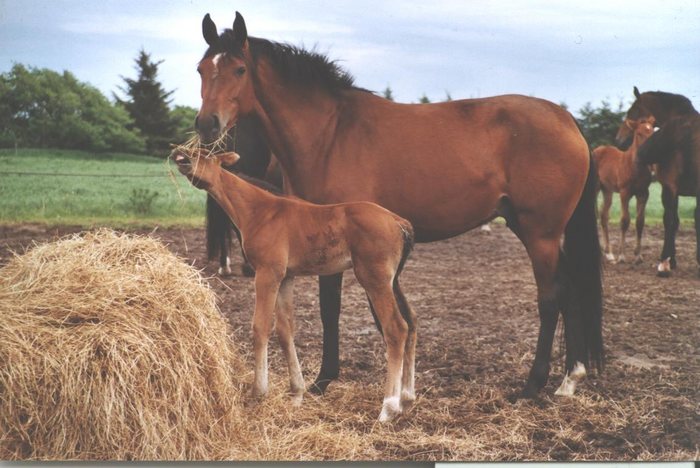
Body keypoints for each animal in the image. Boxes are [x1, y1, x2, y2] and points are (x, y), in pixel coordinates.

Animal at [172, 148, 416, 422]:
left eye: (204, 154)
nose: (180, 155)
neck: (261, 211)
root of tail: (399, 222)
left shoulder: (267, 273)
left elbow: (260, 327)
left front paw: (258, 392)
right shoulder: (286, 277)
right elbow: (285, 330)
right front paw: (297, 394)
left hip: (374, 279)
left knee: (396, 328)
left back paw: (388, 408)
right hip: (392, 281)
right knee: (411, 323)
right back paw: (406, 400)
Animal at [191, 11, 600, 398]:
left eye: (239, 69)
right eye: (201, 69)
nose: (207, 125)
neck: (329, 134)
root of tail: (568, 121)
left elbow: (330, 308)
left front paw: (325, 380)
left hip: (539, 233)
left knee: (551, 297)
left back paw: (533, 385)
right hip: (536, 230)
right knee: (570, 289)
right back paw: (570, 379)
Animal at [616, 87, 700, 274]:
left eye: (633, 110)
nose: (619, 140)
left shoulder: (669, 187)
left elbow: (670, 220)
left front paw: (669, 261)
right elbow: (679, 220)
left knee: (670, 220)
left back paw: (664, 264)